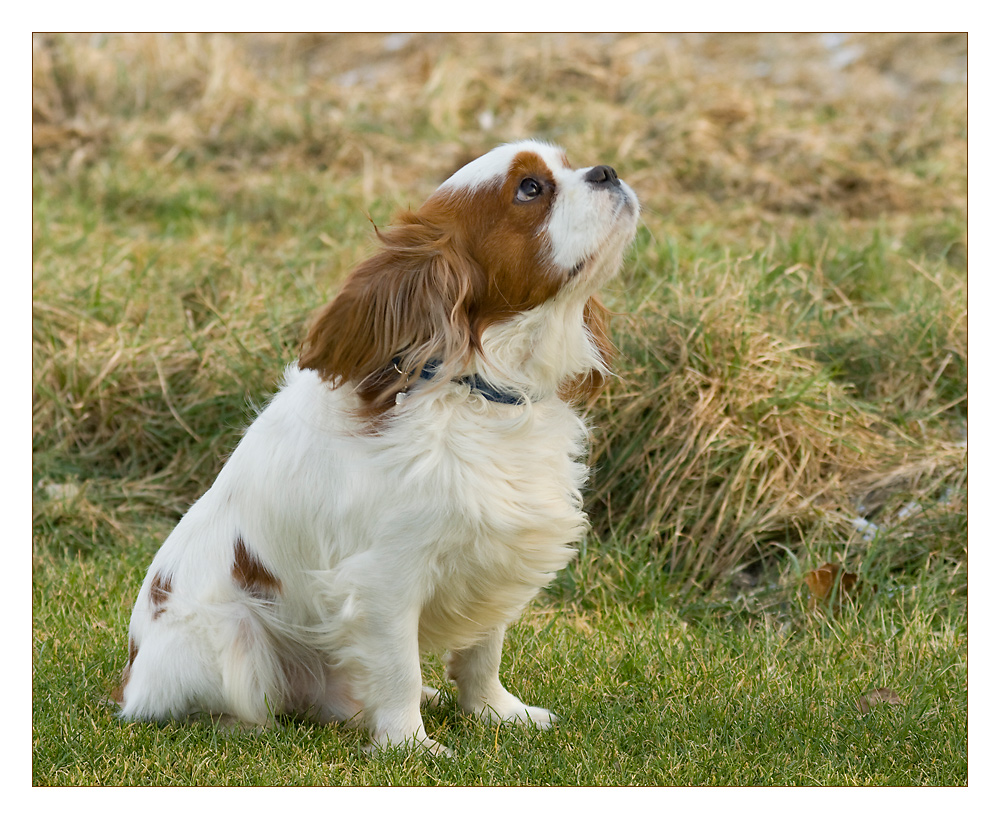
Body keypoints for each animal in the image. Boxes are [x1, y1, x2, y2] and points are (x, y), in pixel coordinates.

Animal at [111, 141, 640, 756]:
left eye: (571, 163)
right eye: (530, 189)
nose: (607, 171)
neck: (477, 389)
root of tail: (130, 681)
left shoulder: (493, 553)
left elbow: (483, 650)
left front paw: (496, 713)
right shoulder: (385, 578)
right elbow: (398, 668)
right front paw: (411, 747)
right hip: (233, 636)